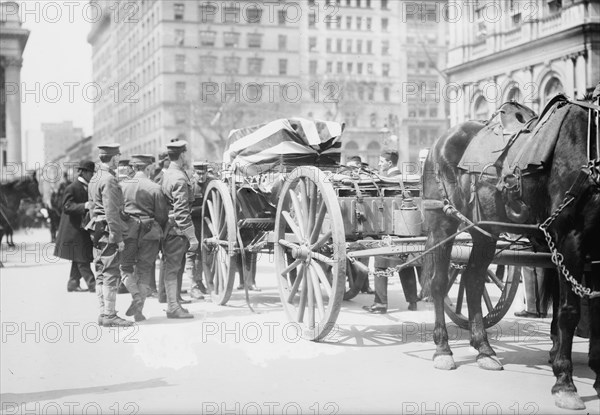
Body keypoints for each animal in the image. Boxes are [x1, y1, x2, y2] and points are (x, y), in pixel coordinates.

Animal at [422, 95, 600, 412]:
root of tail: (440, 142)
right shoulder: (570, 240)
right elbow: (569, 311)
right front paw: (564, 382)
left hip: (484, 231)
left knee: (473, 280)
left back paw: (484, 349)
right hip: (442, 223)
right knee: (440, 283)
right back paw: (443, 349)